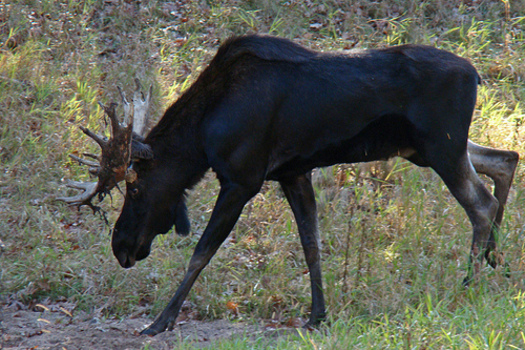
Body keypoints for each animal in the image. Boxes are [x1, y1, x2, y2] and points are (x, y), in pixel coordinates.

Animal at [57, 35, 516, 336]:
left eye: (135, 189)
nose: (120, 247)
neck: (202, 137)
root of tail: (477, 75)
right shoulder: (293, 172)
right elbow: (311, 244)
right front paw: (317, 315)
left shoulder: (243, 179)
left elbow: (201, 252)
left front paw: (160, 320)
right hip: (425, 148)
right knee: (505, 160)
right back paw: (497, 262)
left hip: (441, 146)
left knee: (481, 204)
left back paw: (469, 286)